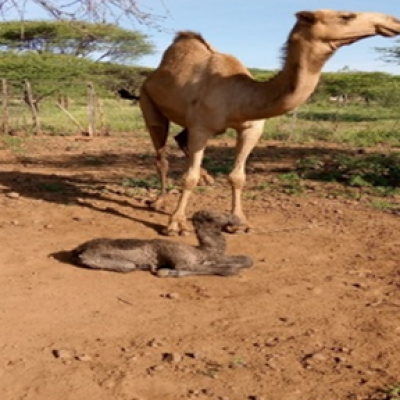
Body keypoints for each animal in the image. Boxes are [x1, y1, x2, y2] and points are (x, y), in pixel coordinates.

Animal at [72, 209, 253, 278]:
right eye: (214, 216)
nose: (236, 219)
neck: (201, 251)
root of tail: (79, 249)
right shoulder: (182, 260)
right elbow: (229, 269)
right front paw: (165, 271)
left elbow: (247, 260)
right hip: (97, 259)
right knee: (128, 266)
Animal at [140, 8, 400, 234]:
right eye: (347, 15)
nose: (393, 21)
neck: (237, 95)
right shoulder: (201, 128)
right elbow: (189, 178)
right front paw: (176, 224)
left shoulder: (251, 128)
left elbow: (238, 177)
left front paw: (239, 223)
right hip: (148, 103)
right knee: (161, 154)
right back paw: (160, 200)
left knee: (180, 138)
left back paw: (206, 177)